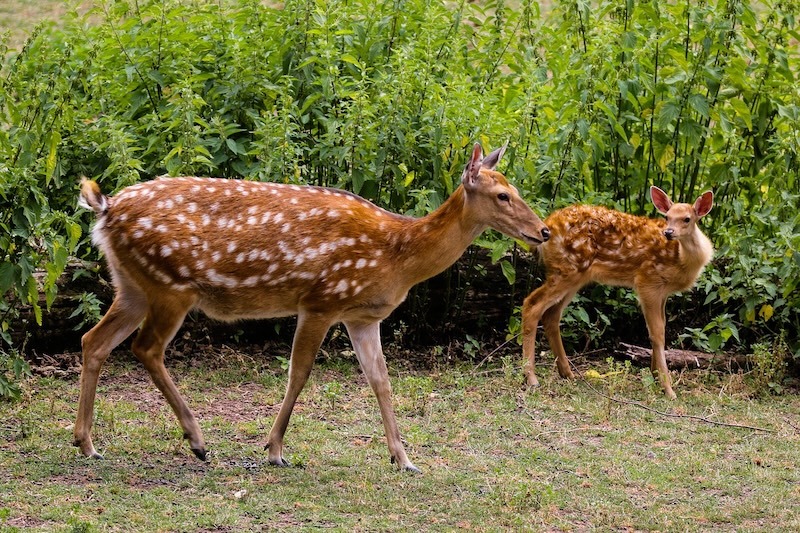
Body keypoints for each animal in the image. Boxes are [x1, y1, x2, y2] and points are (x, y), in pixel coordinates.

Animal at [75, 143, 551, 473]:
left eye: (515, 189)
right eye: (503, 195)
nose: (544, 231)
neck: (397, 256)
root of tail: (106, 208)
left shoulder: (363, 316)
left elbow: (381, 381)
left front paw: (404, 459)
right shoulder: (322, 298)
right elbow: (299, 372)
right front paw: (275, 450)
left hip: (132, 286)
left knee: (93, 340)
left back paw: (87, 443)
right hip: (172, 285)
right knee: (145, 348)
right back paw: (197, 440)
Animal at [520, 186, 714, 400]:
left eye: (687, 219)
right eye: (668, 217)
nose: (668, 232)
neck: (681, 259)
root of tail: (547, 227)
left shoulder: (663, 292)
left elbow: (661, 328)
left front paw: (655, 376)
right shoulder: (647, 281)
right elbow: (657, 334)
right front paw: (667, 388)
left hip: (576, 275)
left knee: (552, 315)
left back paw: (567, 373)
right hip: (567, 269)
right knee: (532, 304)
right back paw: (531, 377)